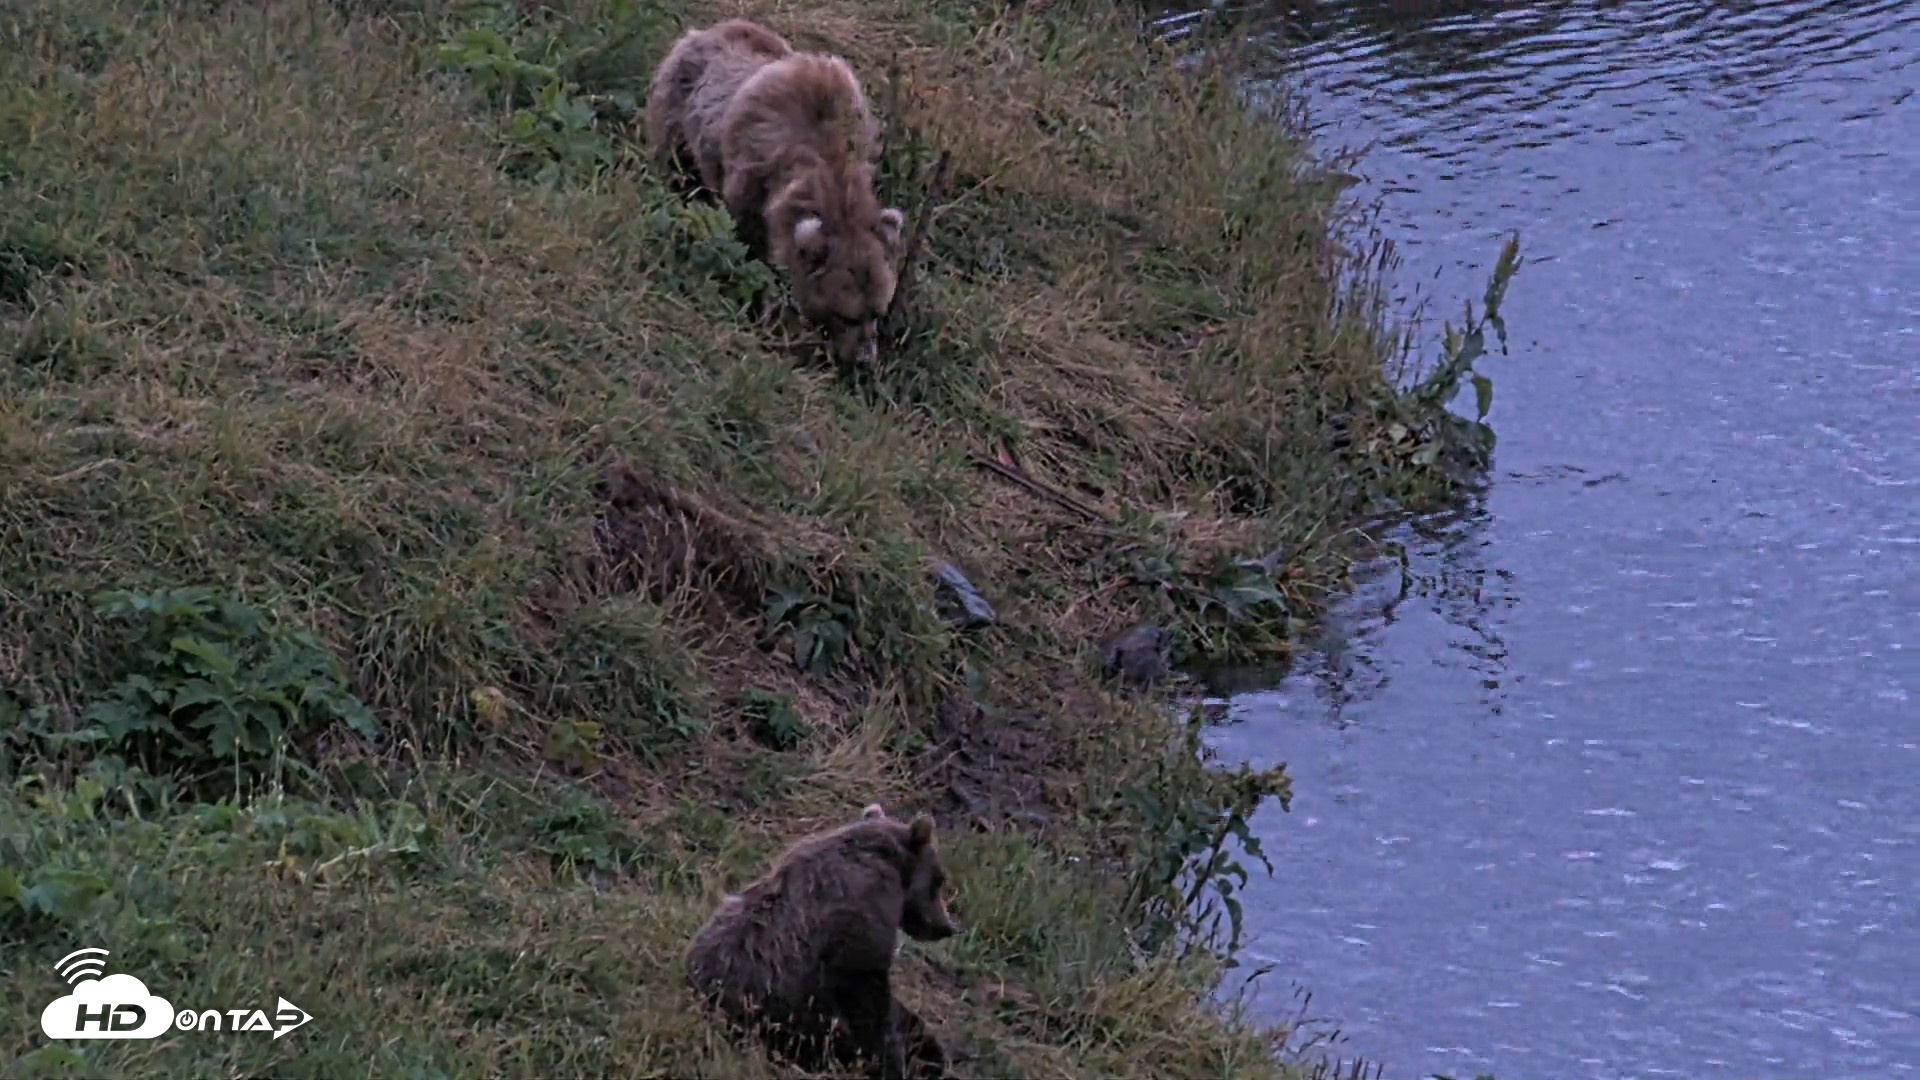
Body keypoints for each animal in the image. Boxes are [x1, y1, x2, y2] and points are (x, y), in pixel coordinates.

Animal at [645, 18, 905, 366]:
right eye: (845, 315)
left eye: (877, 310)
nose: (863, 360)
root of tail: (705, 30)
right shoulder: (752, 174)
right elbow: (749, 247)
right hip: (679, 106)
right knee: (674, 161)